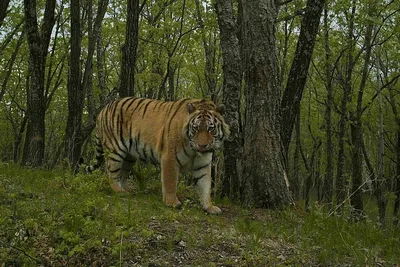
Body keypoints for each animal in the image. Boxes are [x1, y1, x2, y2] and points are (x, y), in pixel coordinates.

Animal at [85, 97, 230, 215]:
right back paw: (119, 191)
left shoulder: (203, 164)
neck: (194, 150)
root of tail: (103, 109)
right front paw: (172, 202)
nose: (202, 145)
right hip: (115, 150)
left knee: (123, 172)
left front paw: (209, 207)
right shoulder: (170, 158)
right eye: (195, 128)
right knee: (112, 173)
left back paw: (128, 189)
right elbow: (170, 182)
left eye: (210, 128)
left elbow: (205, 185)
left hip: (129, 155)